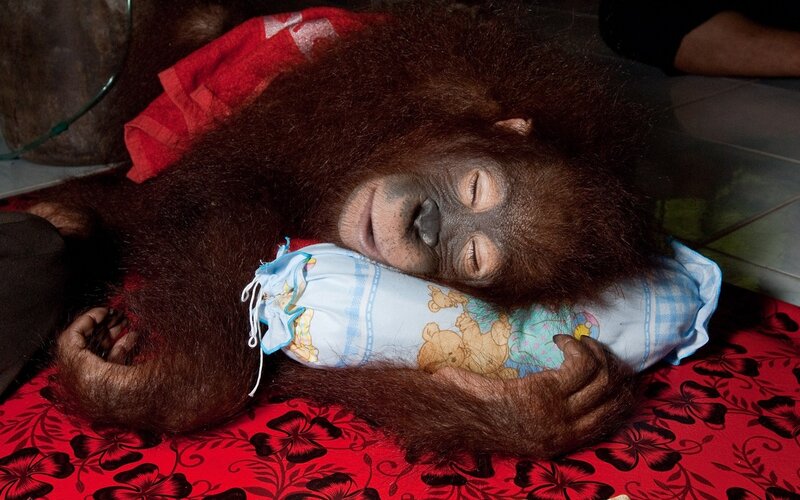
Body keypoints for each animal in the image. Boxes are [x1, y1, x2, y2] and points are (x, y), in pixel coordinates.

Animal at [35, 3, 654, 460]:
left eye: (473, 258)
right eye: (476, 187)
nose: (425, 223)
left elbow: (288, 371)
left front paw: (526, 415)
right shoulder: (389, 84)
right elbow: (232, 183)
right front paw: (160, 387)